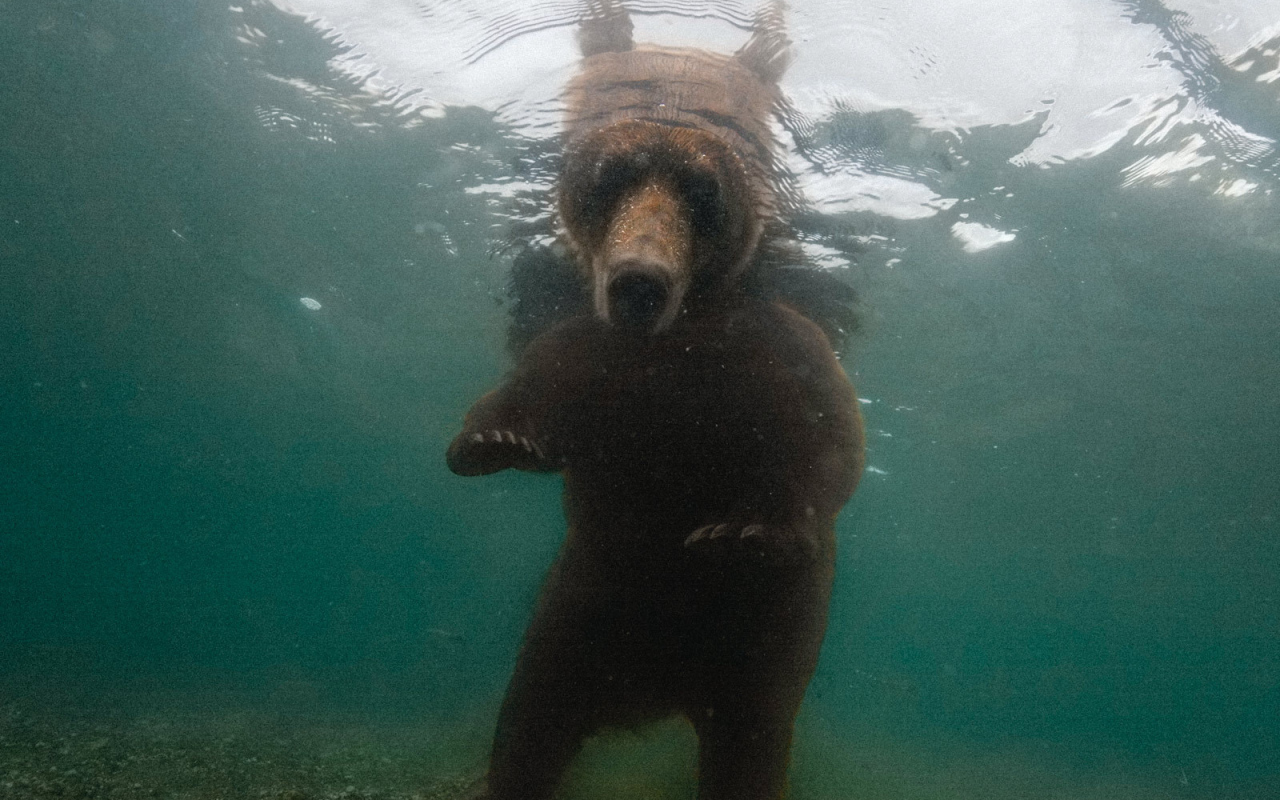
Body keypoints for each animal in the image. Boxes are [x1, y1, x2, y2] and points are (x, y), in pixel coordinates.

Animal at [446, 3, 865, 799]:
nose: (639, 279)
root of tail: (655, 691)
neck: (681, 340)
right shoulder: (594, 353)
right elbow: (536, 391)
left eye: (702, 190)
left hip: (758, 648)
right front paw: (492, 441)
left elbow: (827, 441)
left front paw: (748, 528)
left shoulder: (777, 350)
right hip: (578, 610)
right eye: (610, 177)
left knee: (749, 746)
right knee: (531, 725)